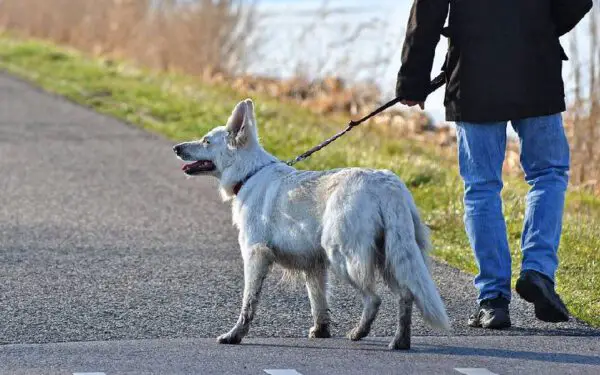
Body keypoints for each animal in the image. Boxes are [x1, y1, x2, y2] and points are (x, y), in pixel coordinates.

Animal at [173, 99, 450, 350]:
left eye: (206, 141)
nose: (176, 147)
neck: (249, 174)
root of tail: (387, 184)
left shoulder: (255, 255)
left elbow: (248, 303)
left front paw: (235, 335)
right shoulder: (314, 265)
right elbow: (318, 303)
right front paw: (321, 331)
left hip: (344, 257)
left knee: (374, 299)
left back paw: (359, 332)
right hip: (390, 257)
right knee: (406, 295)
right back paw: (400, 341)